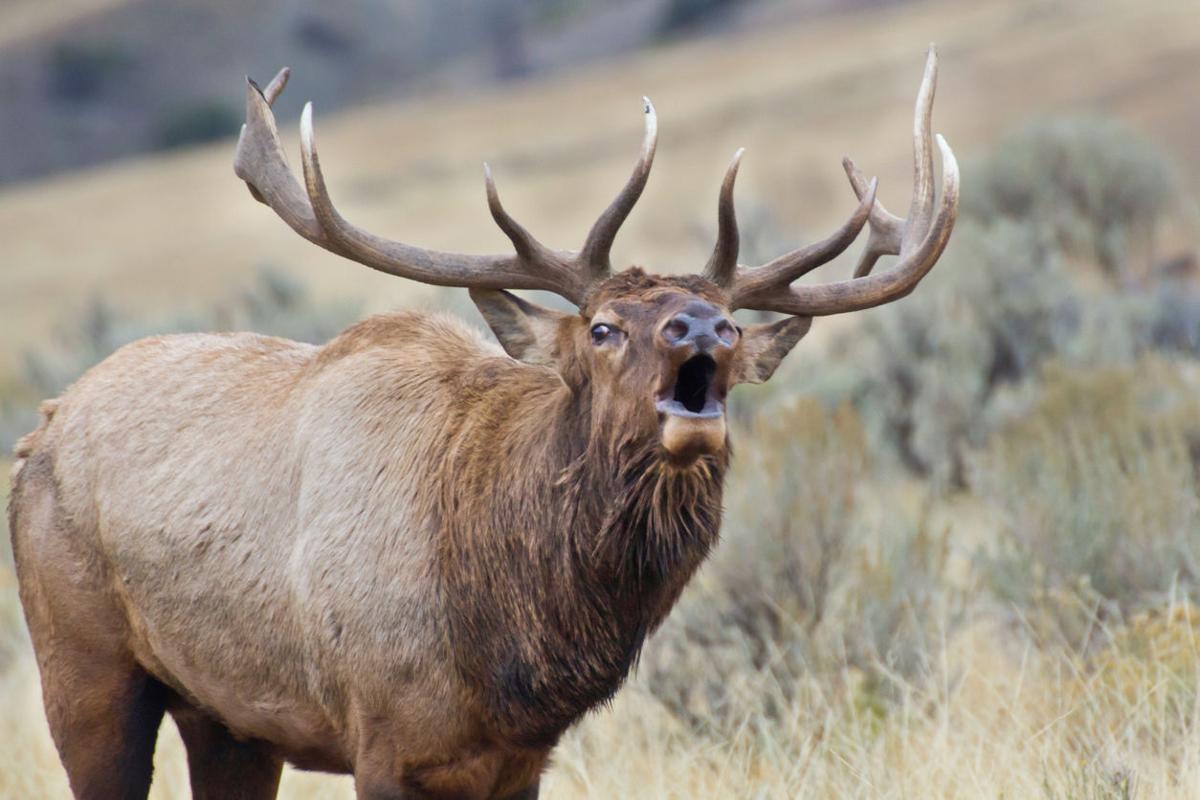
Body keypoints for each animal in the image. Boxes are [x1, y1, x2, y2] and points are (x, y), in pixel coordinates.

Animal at [9, 47, 957, 800]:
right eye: (603, 328)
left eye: (724, 316)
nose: (703, 330)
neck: (509, 640)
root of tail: (43, 425)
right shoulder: (383, 740)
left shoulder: (519, 762)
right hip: (83, 668)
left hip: (229, 717)